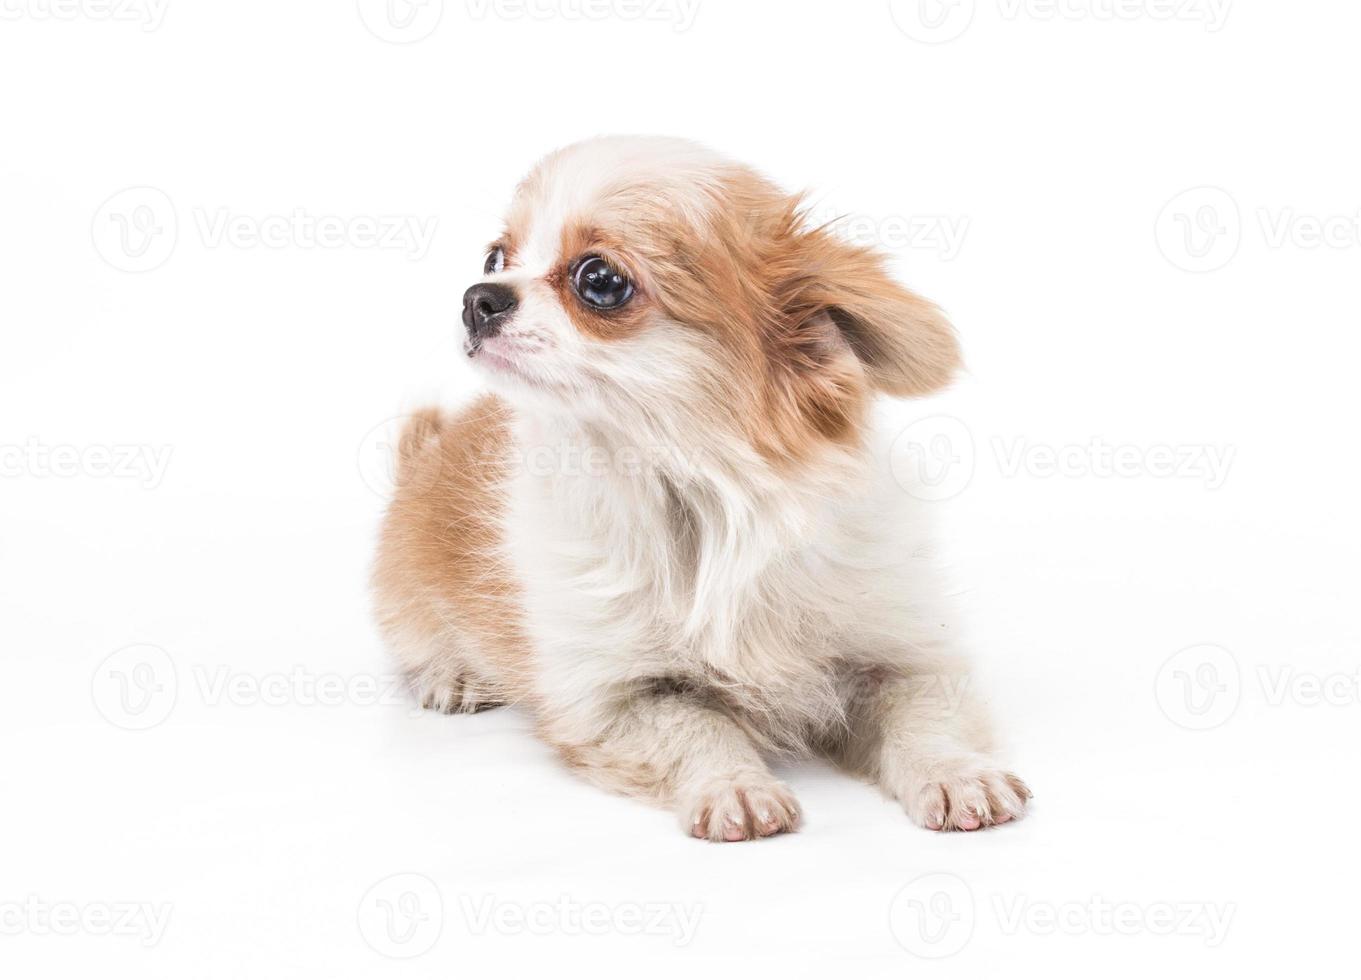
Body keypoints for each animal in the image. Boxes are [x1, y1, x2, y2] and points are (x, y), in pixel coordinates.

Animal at [367, 136, 1023, 843]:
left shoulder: (903, 655)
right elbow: (700, 727)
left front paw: (958, 774)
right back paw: (453, 674)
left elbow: (924, 721)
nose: (476, 296)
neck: (704, 501)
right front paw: (735, 787)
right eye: (495, 257)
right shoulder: (616, 694)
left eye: (600, 280)